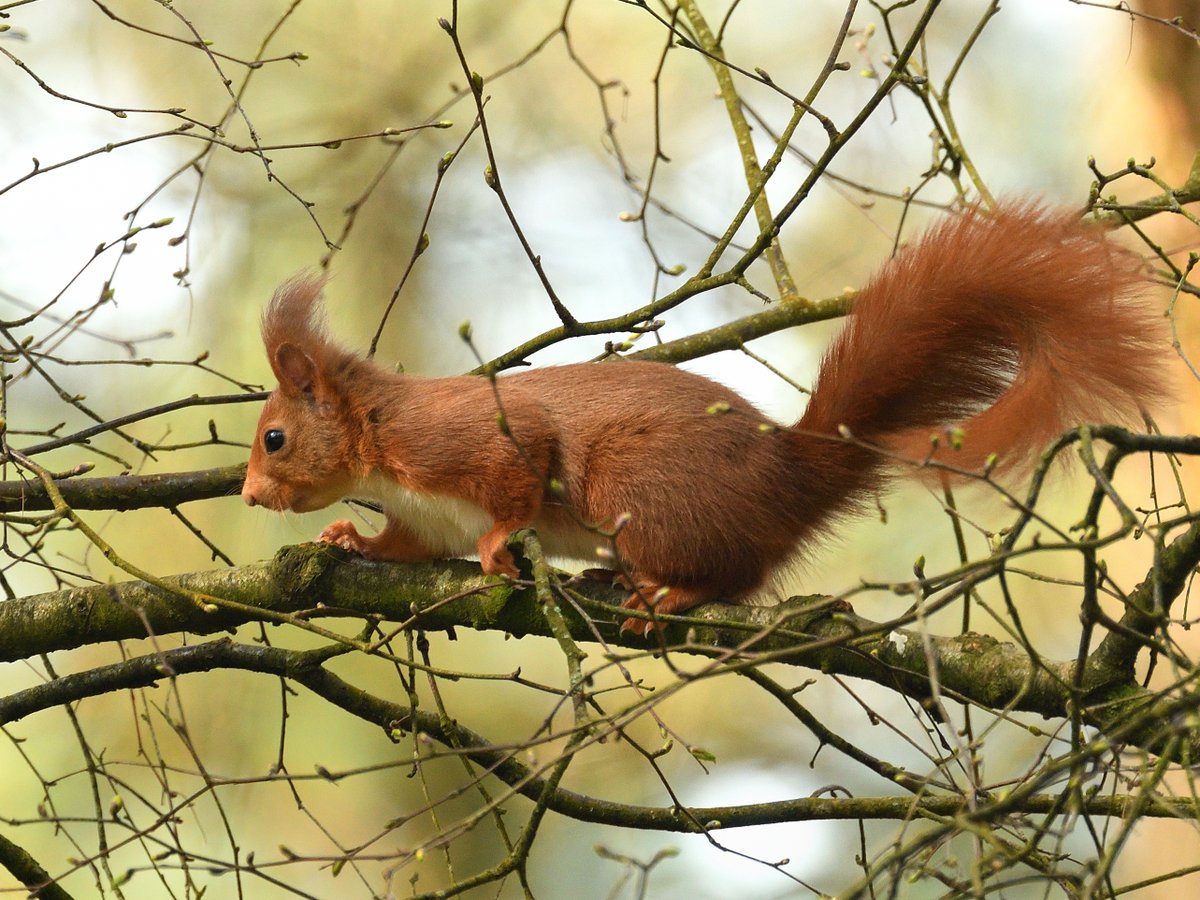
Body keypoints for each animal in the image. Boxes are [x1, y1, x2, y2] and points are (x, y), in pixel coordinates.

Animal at [242, 201, 1168, 635]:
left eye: (275, 438)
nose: (249, 497)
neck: (378, 437)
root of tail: (789, 480)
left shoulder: (463, 443)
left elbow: (517, 474)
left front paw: (502, 546)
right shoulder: (424, 517)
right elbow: (403, 547)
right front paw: (349, 539)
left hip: (638, 484)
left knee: (735, 576)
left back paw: (667, 590)